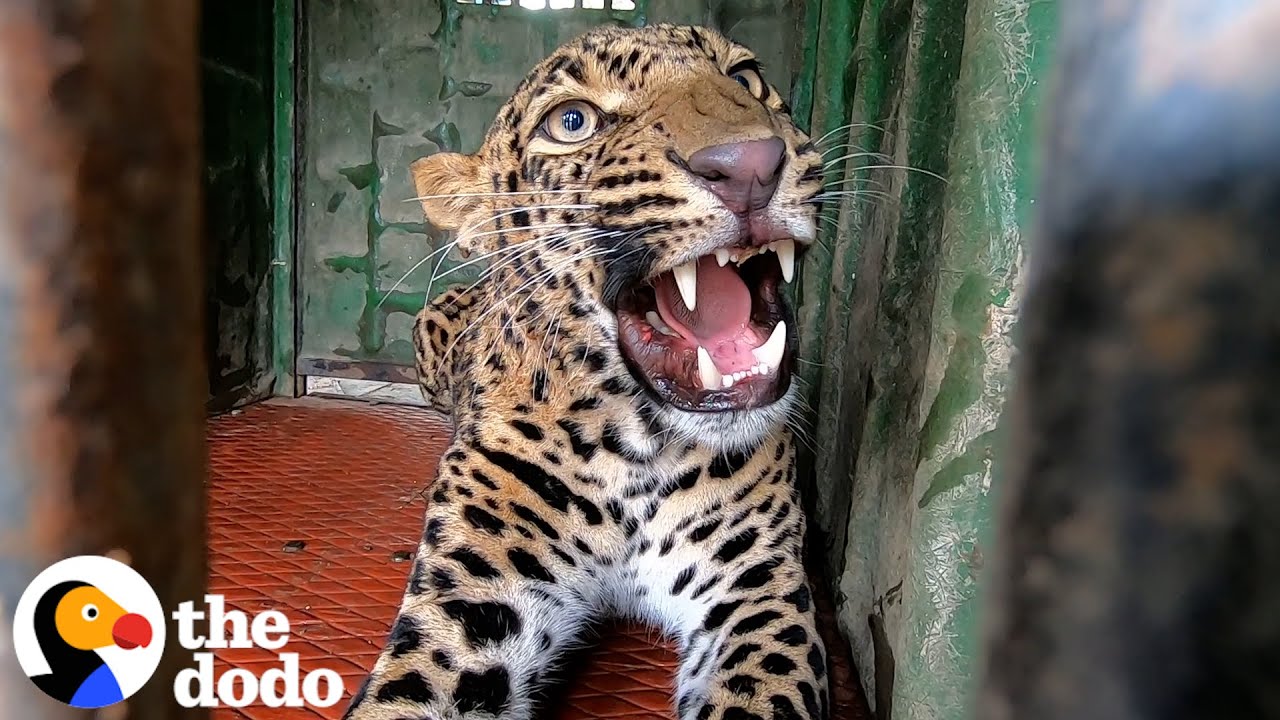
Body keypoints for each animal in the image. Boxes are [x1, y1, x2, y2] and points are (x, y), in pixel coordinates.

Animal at [344, 23, 830, 720]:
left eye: (746, 78)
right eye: (572, 122)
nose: (749, 164)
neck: (638, 448)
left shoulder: (759, 591)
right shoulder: (470, 604)